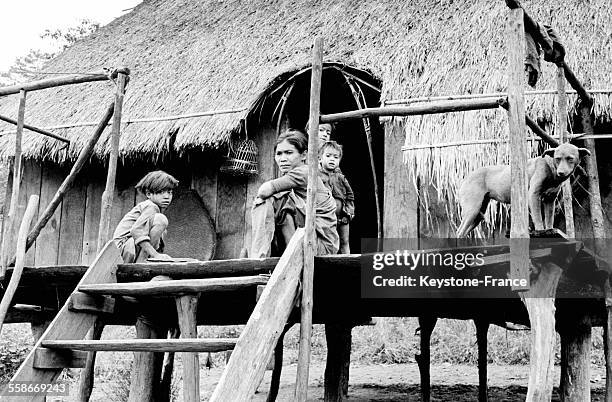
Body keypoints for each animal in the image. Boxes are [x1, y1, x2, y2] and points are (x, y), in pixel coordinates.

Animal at [456, 143, 592, 237]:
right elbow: (538, 217)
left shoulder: (550, 199)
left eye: (570, 158)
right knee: (459, 231)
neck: (551, 169)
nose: (561, 172)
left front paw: (550, 230)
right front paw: (540, 231)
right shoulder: (533, 195)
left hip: (479, 213)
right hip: (472, 209)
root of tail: (466, 178)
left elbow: (549, 219)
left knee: (463, 232)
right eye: (557, 159)